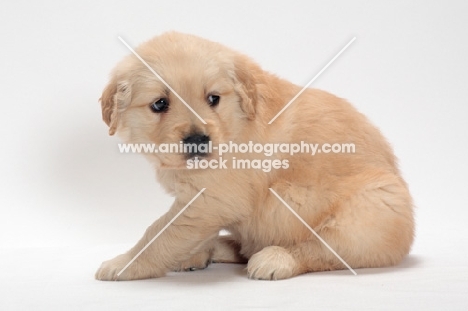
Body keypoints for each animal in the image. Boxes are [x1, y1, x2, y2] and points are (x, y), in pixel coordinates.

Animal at [95, 32, 414, 282]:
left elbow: (159, 234)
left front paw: (124, 263)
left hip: (368, 212)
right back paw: (205, 253)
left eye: (213, 98)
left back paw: (275, 259)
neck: (234, 124)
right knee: (243, 245)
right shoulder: (205, 204)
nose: (198, 140)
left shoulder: (209, 201)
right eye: (160, 104)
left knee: (319, 250)